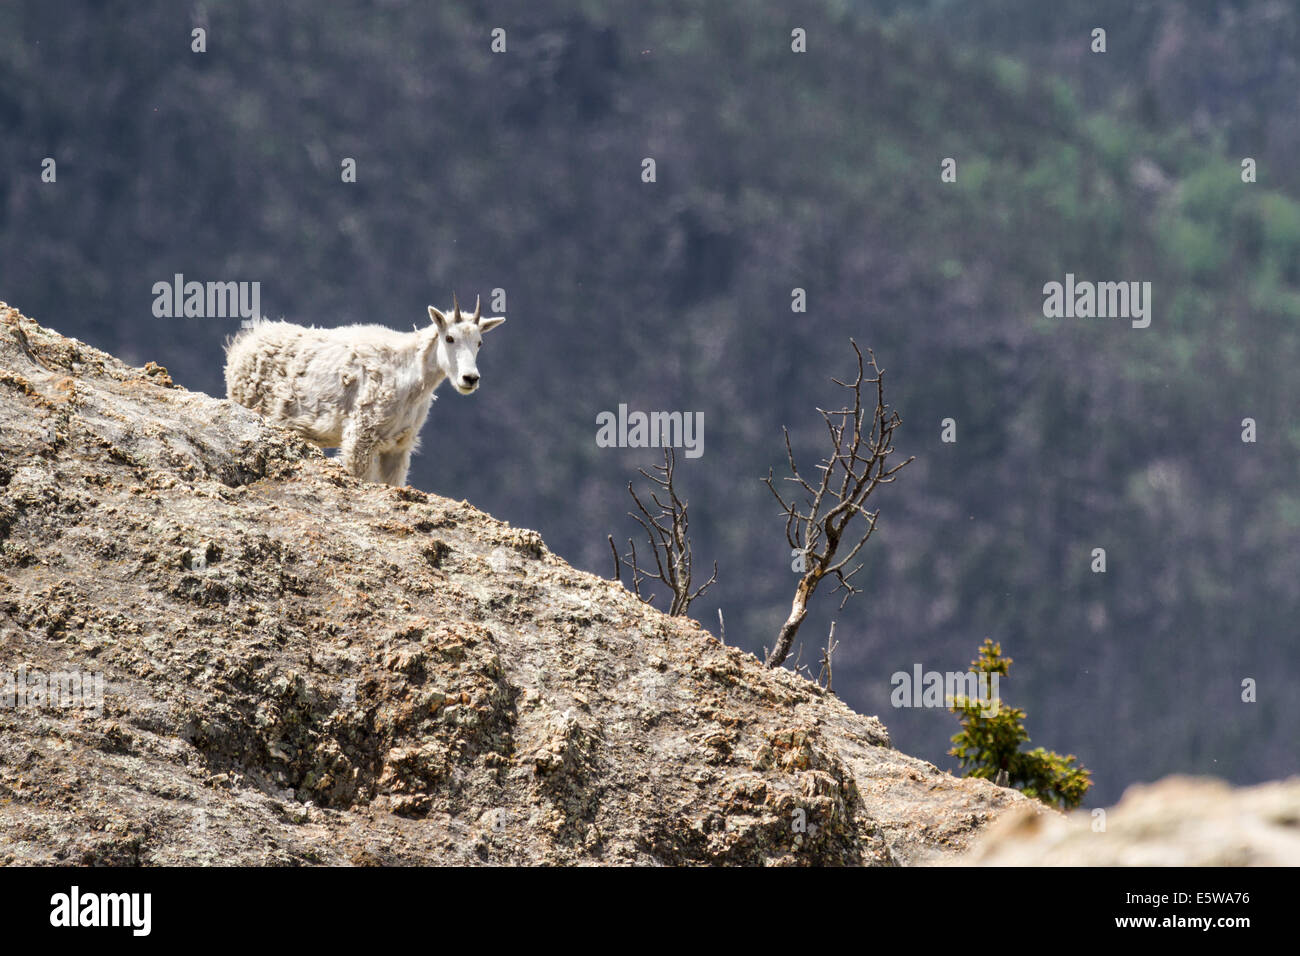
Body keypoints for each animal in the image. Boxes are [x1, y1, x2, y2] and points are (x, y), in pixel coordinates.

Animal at [224, 294, 505, 486]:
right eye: (449, 338)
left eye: (479, 342)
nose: (470, 378)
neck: (411, 377)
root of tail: (239, 348)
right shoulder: (362, 435)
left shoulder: (399, 445)